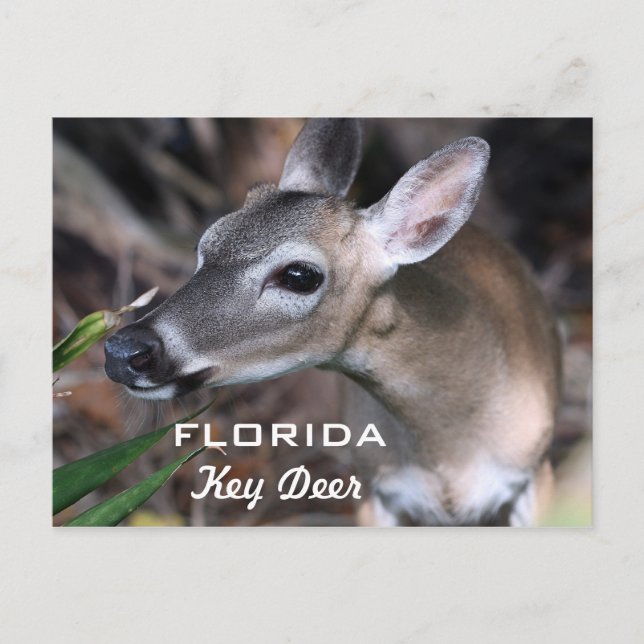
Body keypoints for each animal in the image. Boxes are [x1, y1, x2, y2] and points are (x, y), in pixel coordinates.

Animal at [104, 118, 561, 526]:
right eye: (206, 245)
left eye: (299, 275)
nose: (125, 351)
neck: (450, 451)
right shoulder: (372, 489)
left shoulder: (537, 471)